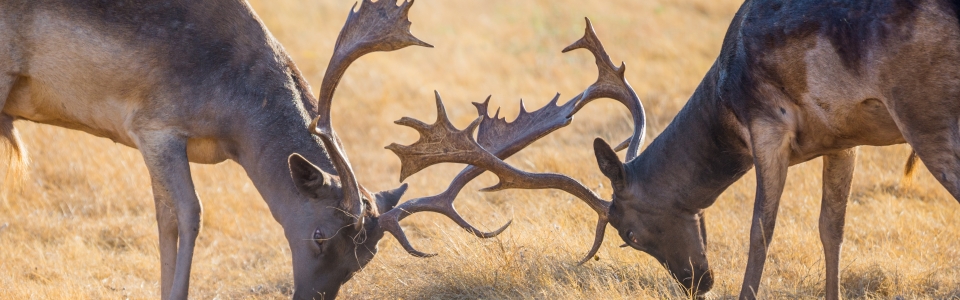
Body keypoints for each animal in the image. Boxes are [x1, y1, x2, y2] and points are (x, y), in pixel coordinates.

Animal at [0, 0, 438, 300]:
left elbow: (164, 217)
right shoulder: (156, 127)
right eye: (319, 234)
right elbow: (189, 213)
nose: (308, 296)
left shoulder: (151, 141)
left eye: (364, 258)